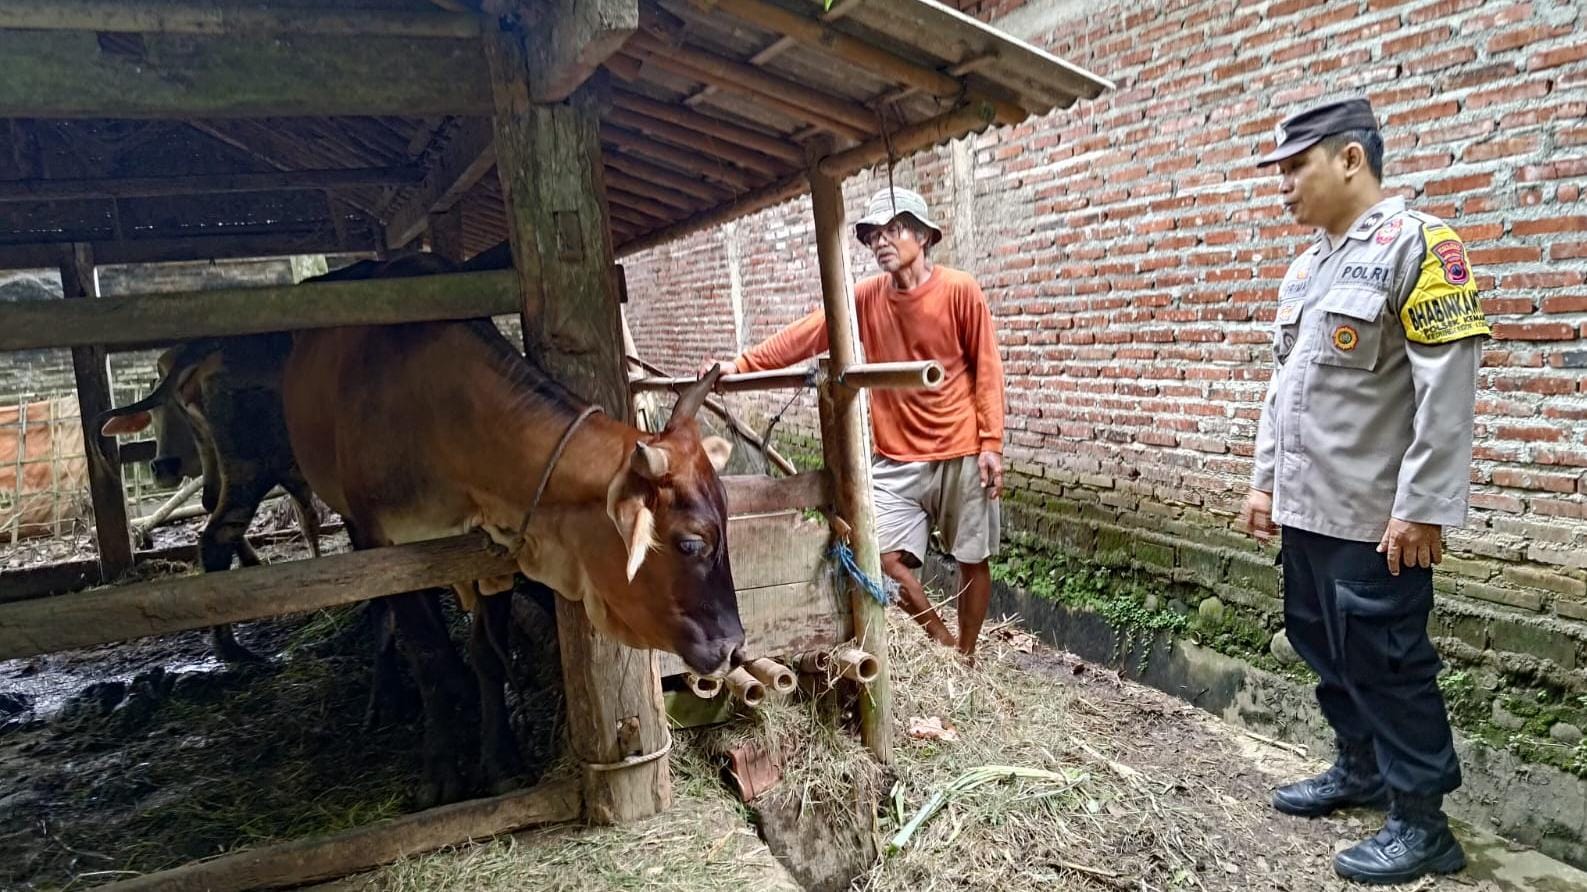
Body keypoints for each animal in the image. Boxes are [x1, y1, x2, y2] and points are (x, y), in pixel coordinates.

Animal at [284, 252, 742, 799]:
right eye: (690, 543)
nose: (733, 647)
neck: (436, 419)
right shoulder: (385, 544)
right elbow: (427, 655)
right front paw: (441, 770)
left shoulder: (492, 551)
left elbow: (487, 652)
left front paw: (500, 758)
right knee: (386, 616)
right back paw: (388, 694)